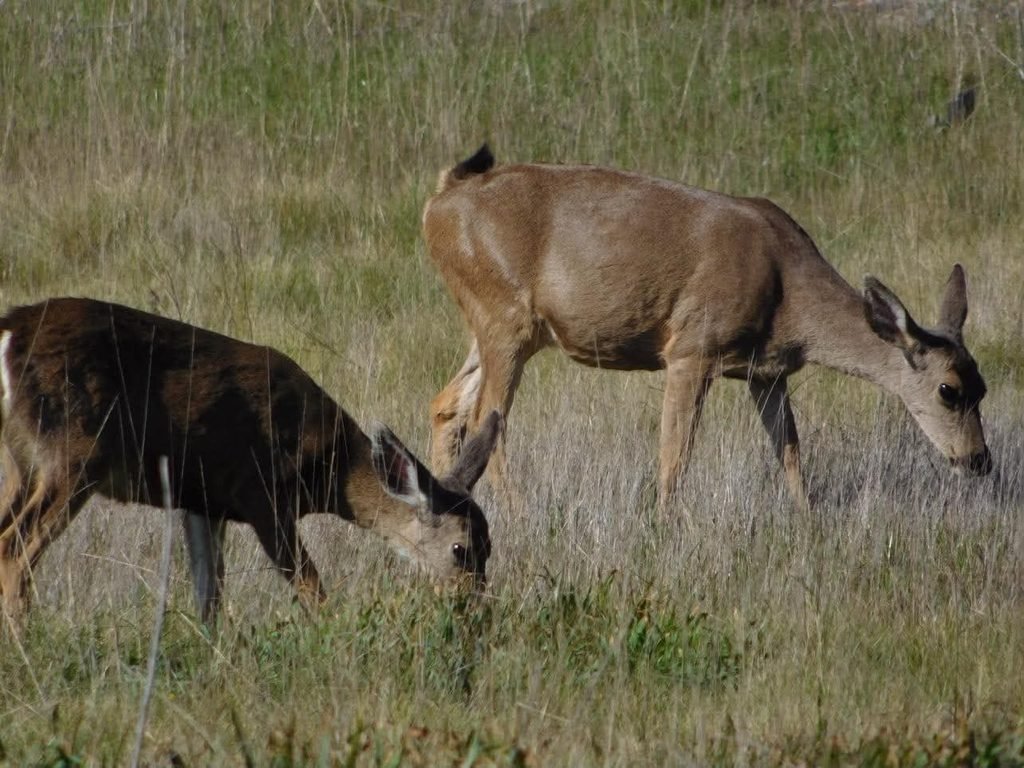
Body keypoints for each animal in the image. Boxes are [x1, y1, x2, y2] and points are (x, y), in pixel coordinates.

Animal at [0, 297, 501, 628]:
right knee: (15, 547)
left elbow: (209, 592)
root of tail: (10, 332)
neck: (329, 472)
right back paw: (25, 641)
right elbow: (309, 585)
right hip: (73, 453)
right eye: (460, 549)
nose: (473, 609)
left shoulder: (202, 501)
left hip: (22, 462)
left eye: (489, 547)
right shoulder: (261, 494)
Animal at [424, 145, 991, 511]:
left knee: (447, 404)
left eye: (983, 387)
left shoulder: (767, 373)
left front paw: (807, 524)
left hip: (493, 325)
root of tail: (440, 201)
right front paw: (663, 526)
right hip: (504, 315)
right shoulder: (691, 348)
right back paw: (516, 513)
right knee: (487, 419)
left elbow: (790, 453)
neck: (791, 295)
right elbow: (675, 455)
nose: (979, 461)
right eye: (949, 389)